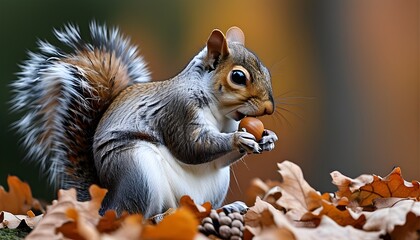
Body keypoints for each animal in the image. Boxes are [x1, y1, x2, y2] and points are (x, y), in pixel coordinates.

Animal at [10, 23, 276, 218]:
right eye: (238, 76)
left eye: (267, 71)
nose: (269, 108)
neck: (220, 111)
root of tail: (105, 204)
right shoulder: (178, 111)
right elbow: (191, 147)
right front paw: (237, 139)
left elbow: (217, 160)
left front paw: (267, 139)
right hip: (137, 171)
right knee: (134, 216)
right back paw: (160, 217)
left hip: (211, 186)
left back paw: (225, 208)